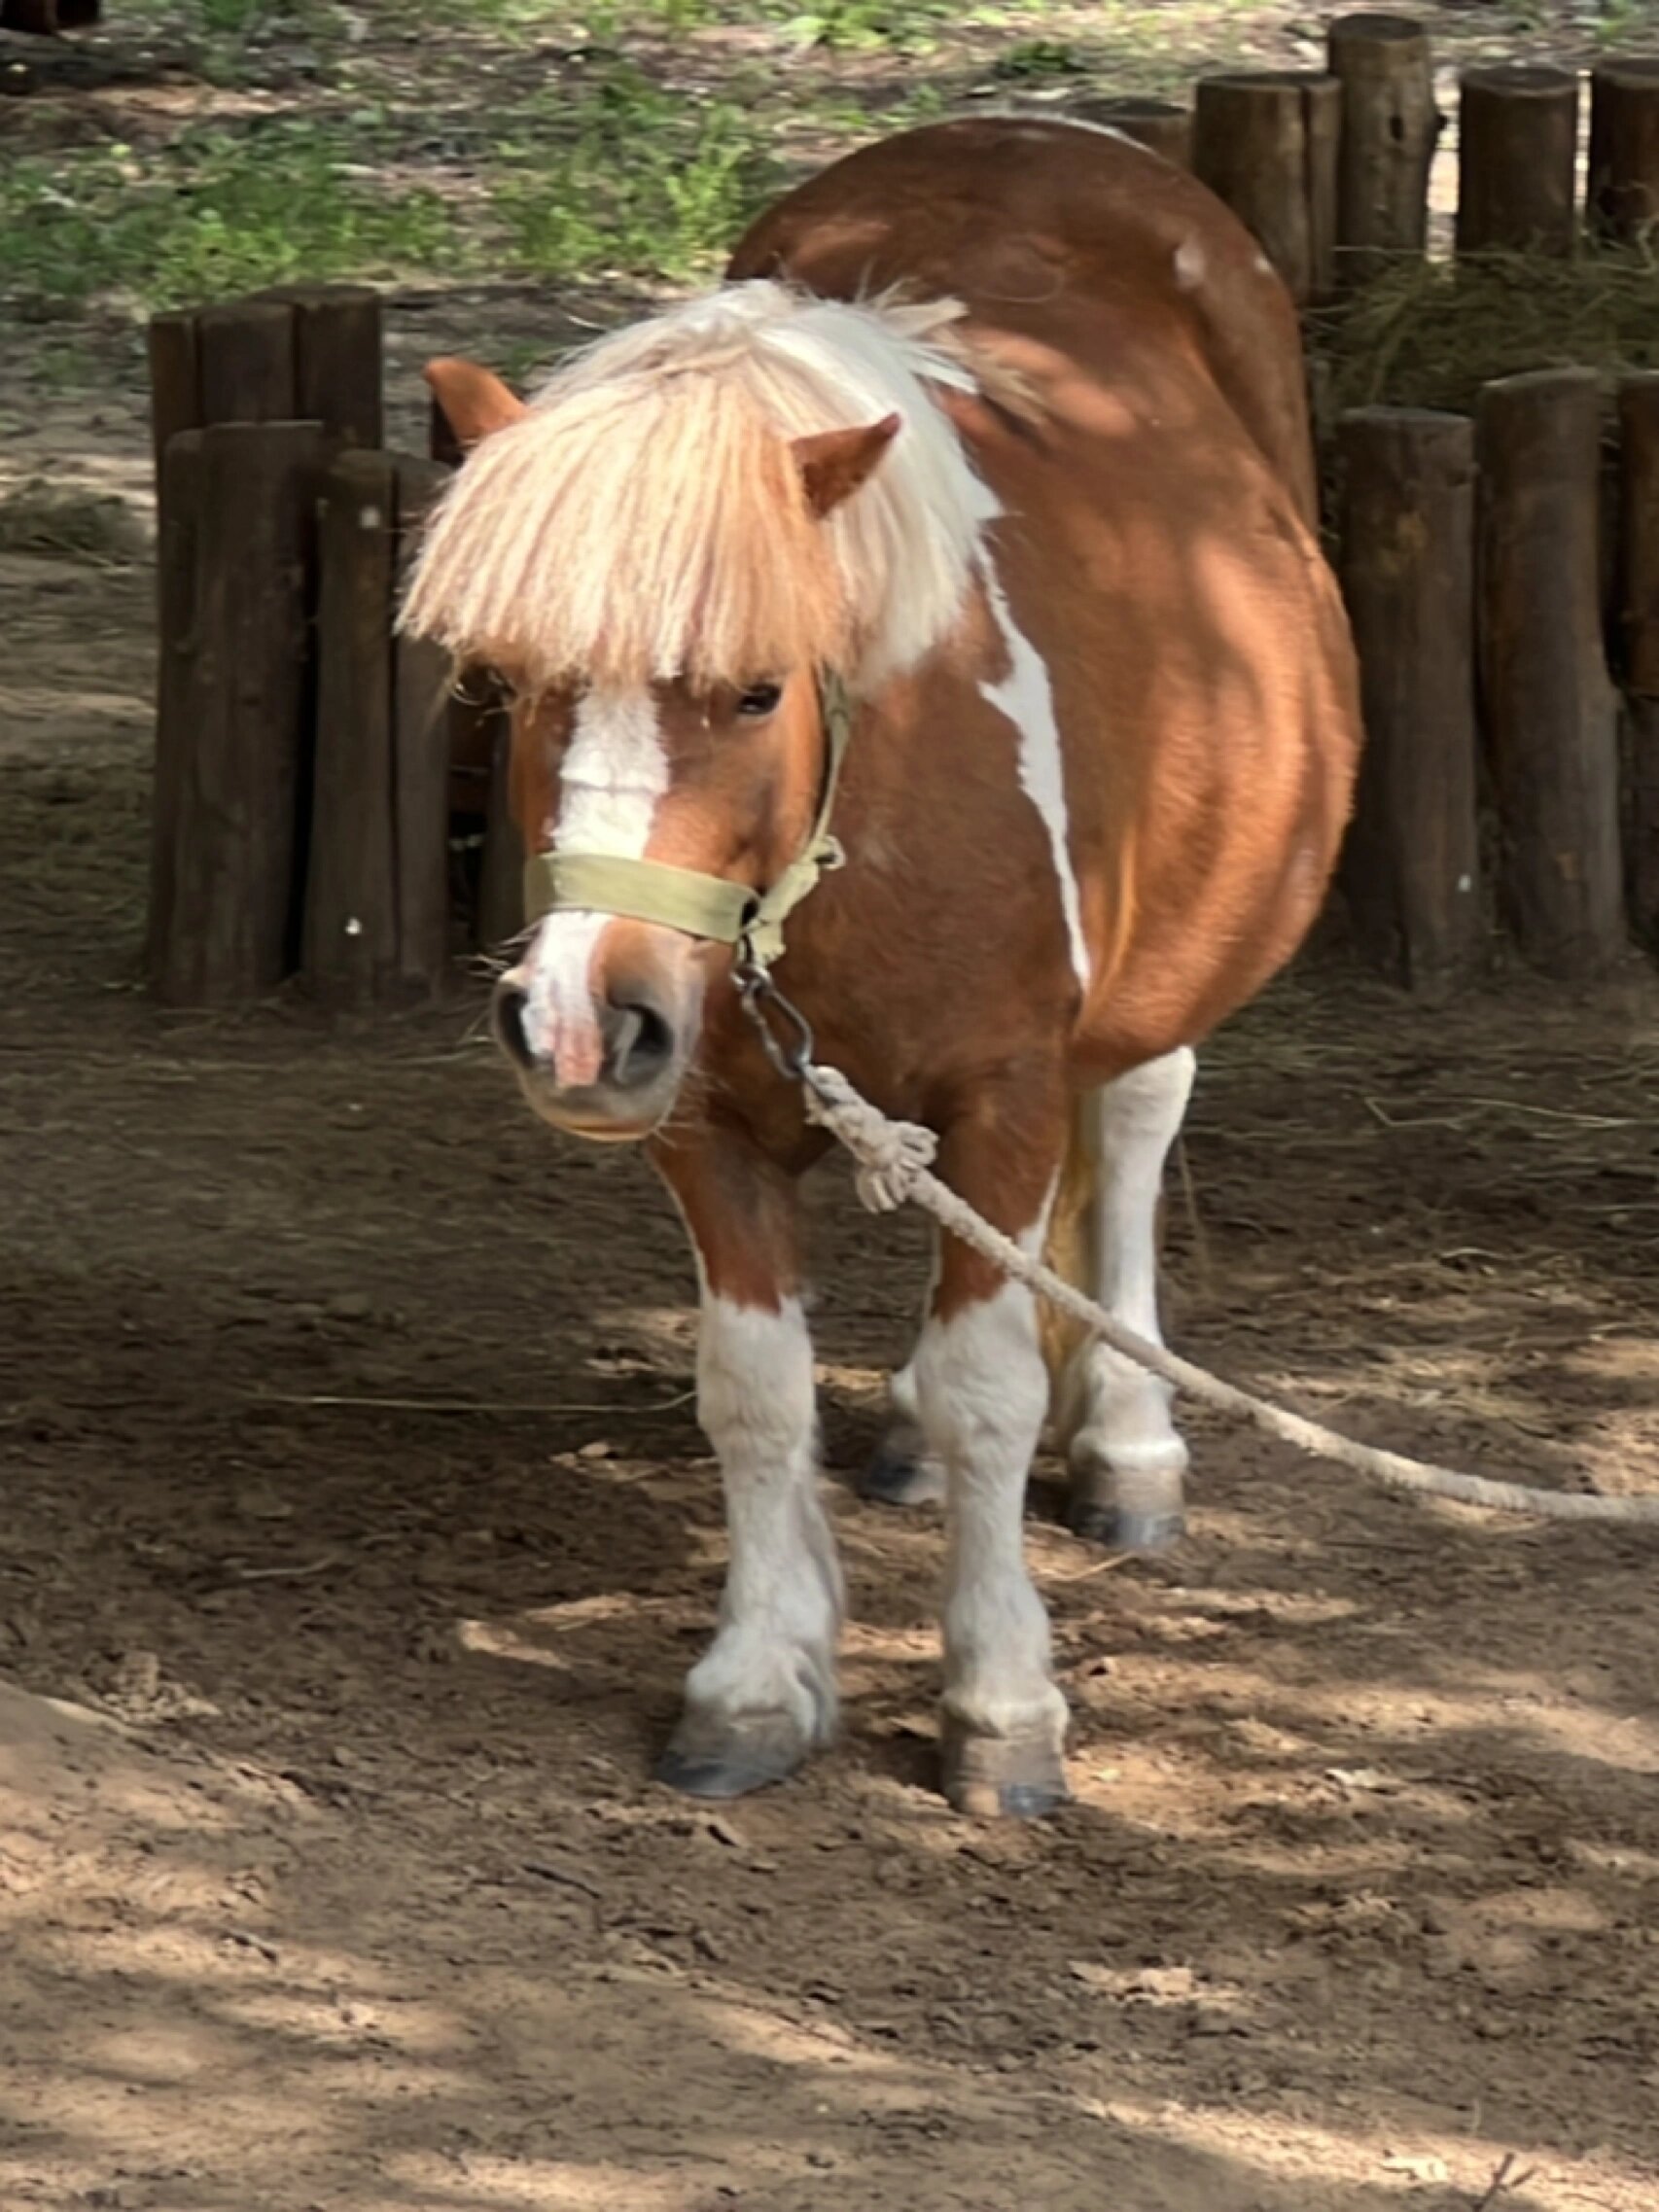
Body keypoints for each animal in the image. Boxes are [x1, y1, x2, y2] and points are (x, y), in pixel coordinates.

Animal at [401, 116, 1362, 1819]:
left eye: (754, 687)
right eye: (504, 677)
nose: (575, 1023)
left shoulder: (1007, 1092)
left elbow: (996, 1390)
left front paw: (999, 1702)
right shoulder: (705, 1120)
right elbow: (754, 1389)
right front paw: (757, 1675)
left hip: (1168, 971)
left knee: (1134, 1126)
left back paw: (1127, 1440)